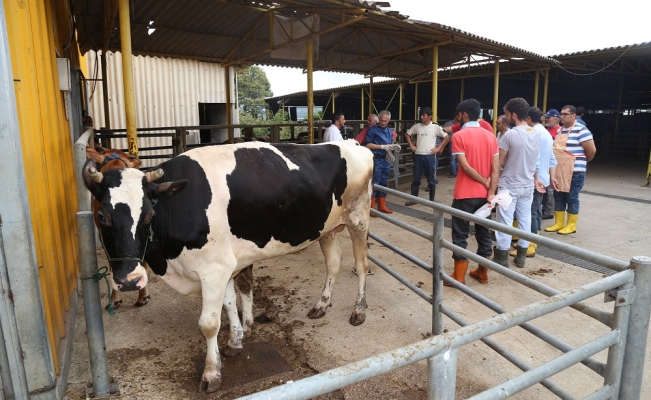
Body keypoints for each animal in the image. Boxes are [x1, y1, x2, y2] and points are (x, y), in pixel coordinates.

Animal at [83, 141, 372, 390]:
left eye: (149, 214)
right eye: (101, 216)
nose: (130, 280)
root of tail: (352, 144)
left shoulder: (214, 269)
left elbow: (209, 323)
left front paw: (212, 373)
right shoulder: (224, 265)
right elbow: (230, 303)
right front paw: (235, 341)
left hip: (359, 220)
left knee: (361, 265)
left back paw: (358, 310)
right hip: (328, 230)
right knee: (333, 264)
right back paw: (321, 305)